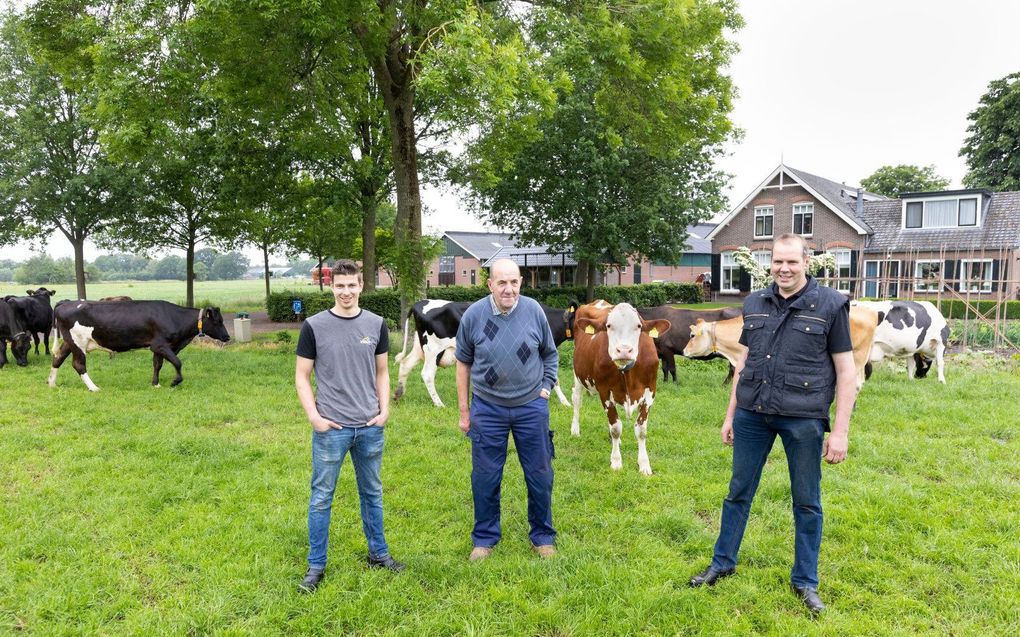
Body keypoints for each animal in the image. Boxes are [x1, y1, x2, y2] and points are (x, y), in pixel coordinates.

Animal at [49, 299, 229, 393]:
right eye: (218, 321)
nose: (227, 337)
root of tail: (67, 302)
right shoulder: (161, 345)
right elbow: (177, 362)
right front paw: (175, 381)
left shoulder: (157, 347)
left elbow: (157, 365)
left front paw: (155, 384)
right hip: (78, 342)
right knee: (78, 364)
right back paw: (94, 388)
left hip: (69, 342)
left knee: (58, 358)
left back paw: (51, 383)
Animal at [393, 299, 579, 407]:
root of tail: (420, 302)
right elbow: (555, 378)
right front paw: (565, 403)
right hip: (433, 349)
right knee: (427, 374)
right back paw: (439, 404)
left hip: (420, 347)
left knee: (405, 364)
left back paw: (398, 394)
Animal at [575, 299, 669, 474]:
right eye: (608, 326)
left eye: (638, 326)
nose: (624, 350)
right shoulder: (605, 391)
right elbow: (616, 428)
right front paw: (616, 461)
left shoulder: (650, 392)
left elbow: (641, 430)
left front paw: (644, 464)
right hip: (578, 375)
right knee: (577, 400)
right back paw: (575, 430)